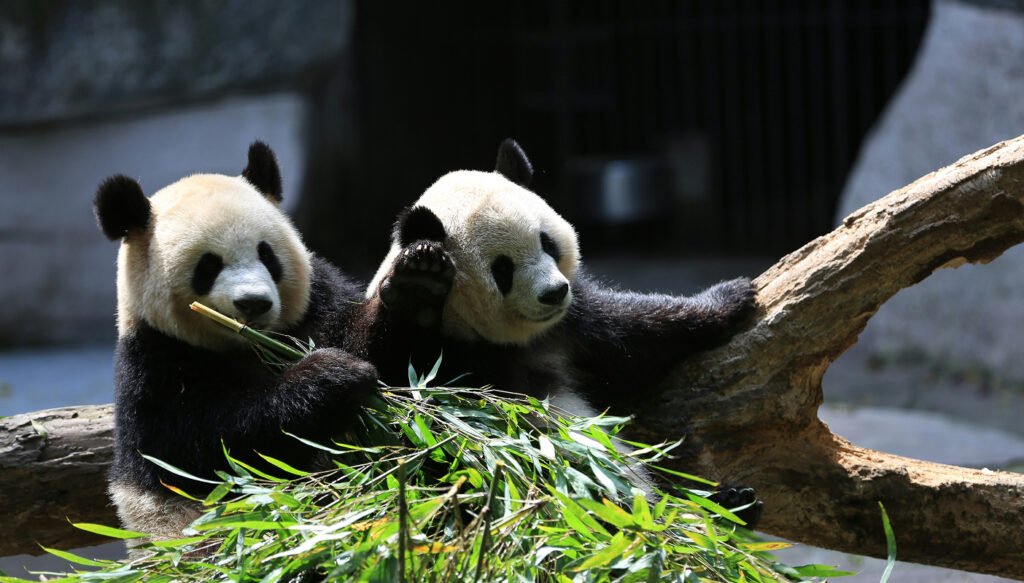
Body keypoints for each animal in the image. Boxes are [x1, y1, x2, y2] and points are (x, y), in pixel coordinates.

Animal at [94, 142, 377, 544]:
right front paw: (331, 376)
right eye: (208, 266)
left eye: (267, 254)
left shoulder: (317, 306)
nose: (253, 303)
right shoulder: (154, 366)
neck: (250, 344)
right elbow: (215, 447)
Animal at [359, 139, 760, 522]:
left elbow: (638, 336)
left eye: (546, 242)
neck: (502, 339)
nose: (554, 292)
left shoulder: (571, 328)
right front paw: (418, 286)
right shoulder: (442, 361)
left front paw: (730, 296)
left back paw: (732, 503)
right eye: (502, 269)